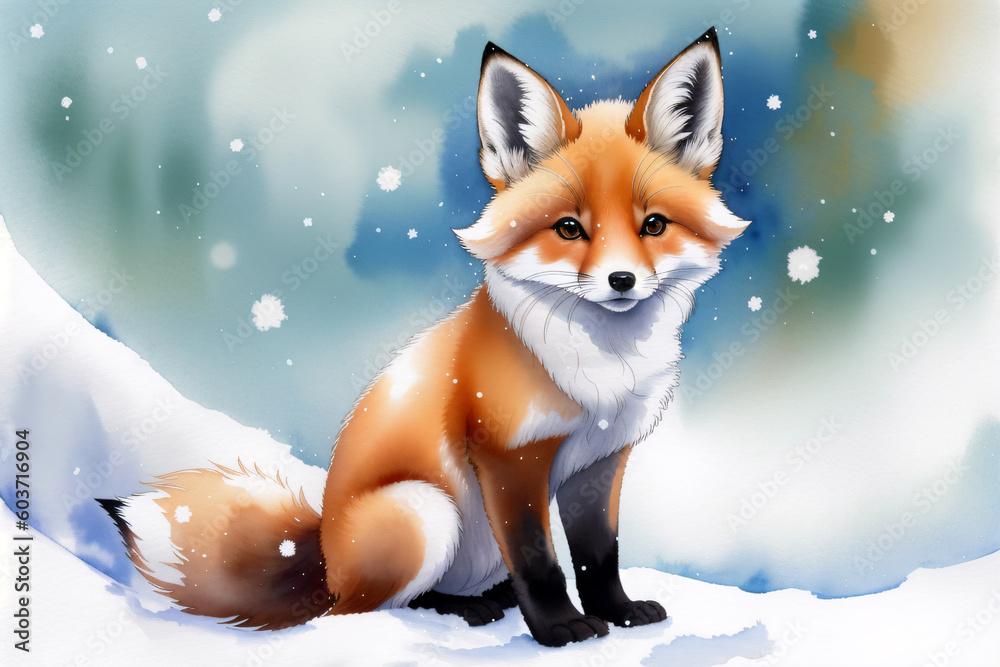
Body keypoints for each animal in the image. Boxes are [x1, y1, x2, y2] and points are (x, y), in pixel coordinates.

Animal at [101, 27, 749, 647]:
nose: (621, 281)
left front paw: (617, 612)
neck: (604, 374)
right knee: (366, 608)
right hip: (426, 511)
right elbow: (539, 559)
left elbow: (598, 556)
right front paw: (560, 629)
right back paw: (464, 608)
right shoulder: (508, 455)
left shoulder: (602, 462)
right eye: (569, 229)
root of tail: (325, 559)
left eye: (654, 225)